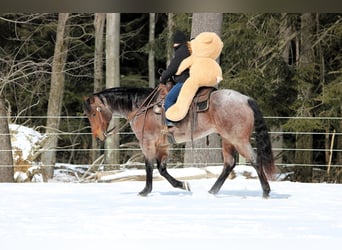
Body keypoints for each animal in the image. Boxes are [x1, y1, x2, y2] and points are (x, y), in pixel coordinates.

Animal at [83, 87, 276, 198]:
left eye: (92, 113)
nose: (98, 135)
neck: (142, 106)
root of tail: (245, 99)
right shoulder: (163, 145)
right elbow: (162, 169)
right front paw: (183, 185)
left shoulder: (147, 142)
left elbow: (149, 166)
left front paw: (145, 191)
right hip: (227, 139)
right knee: (229, 164)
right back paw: (212, 191)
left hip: (238, 139)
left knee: (255, 160)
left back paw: (266, 191)